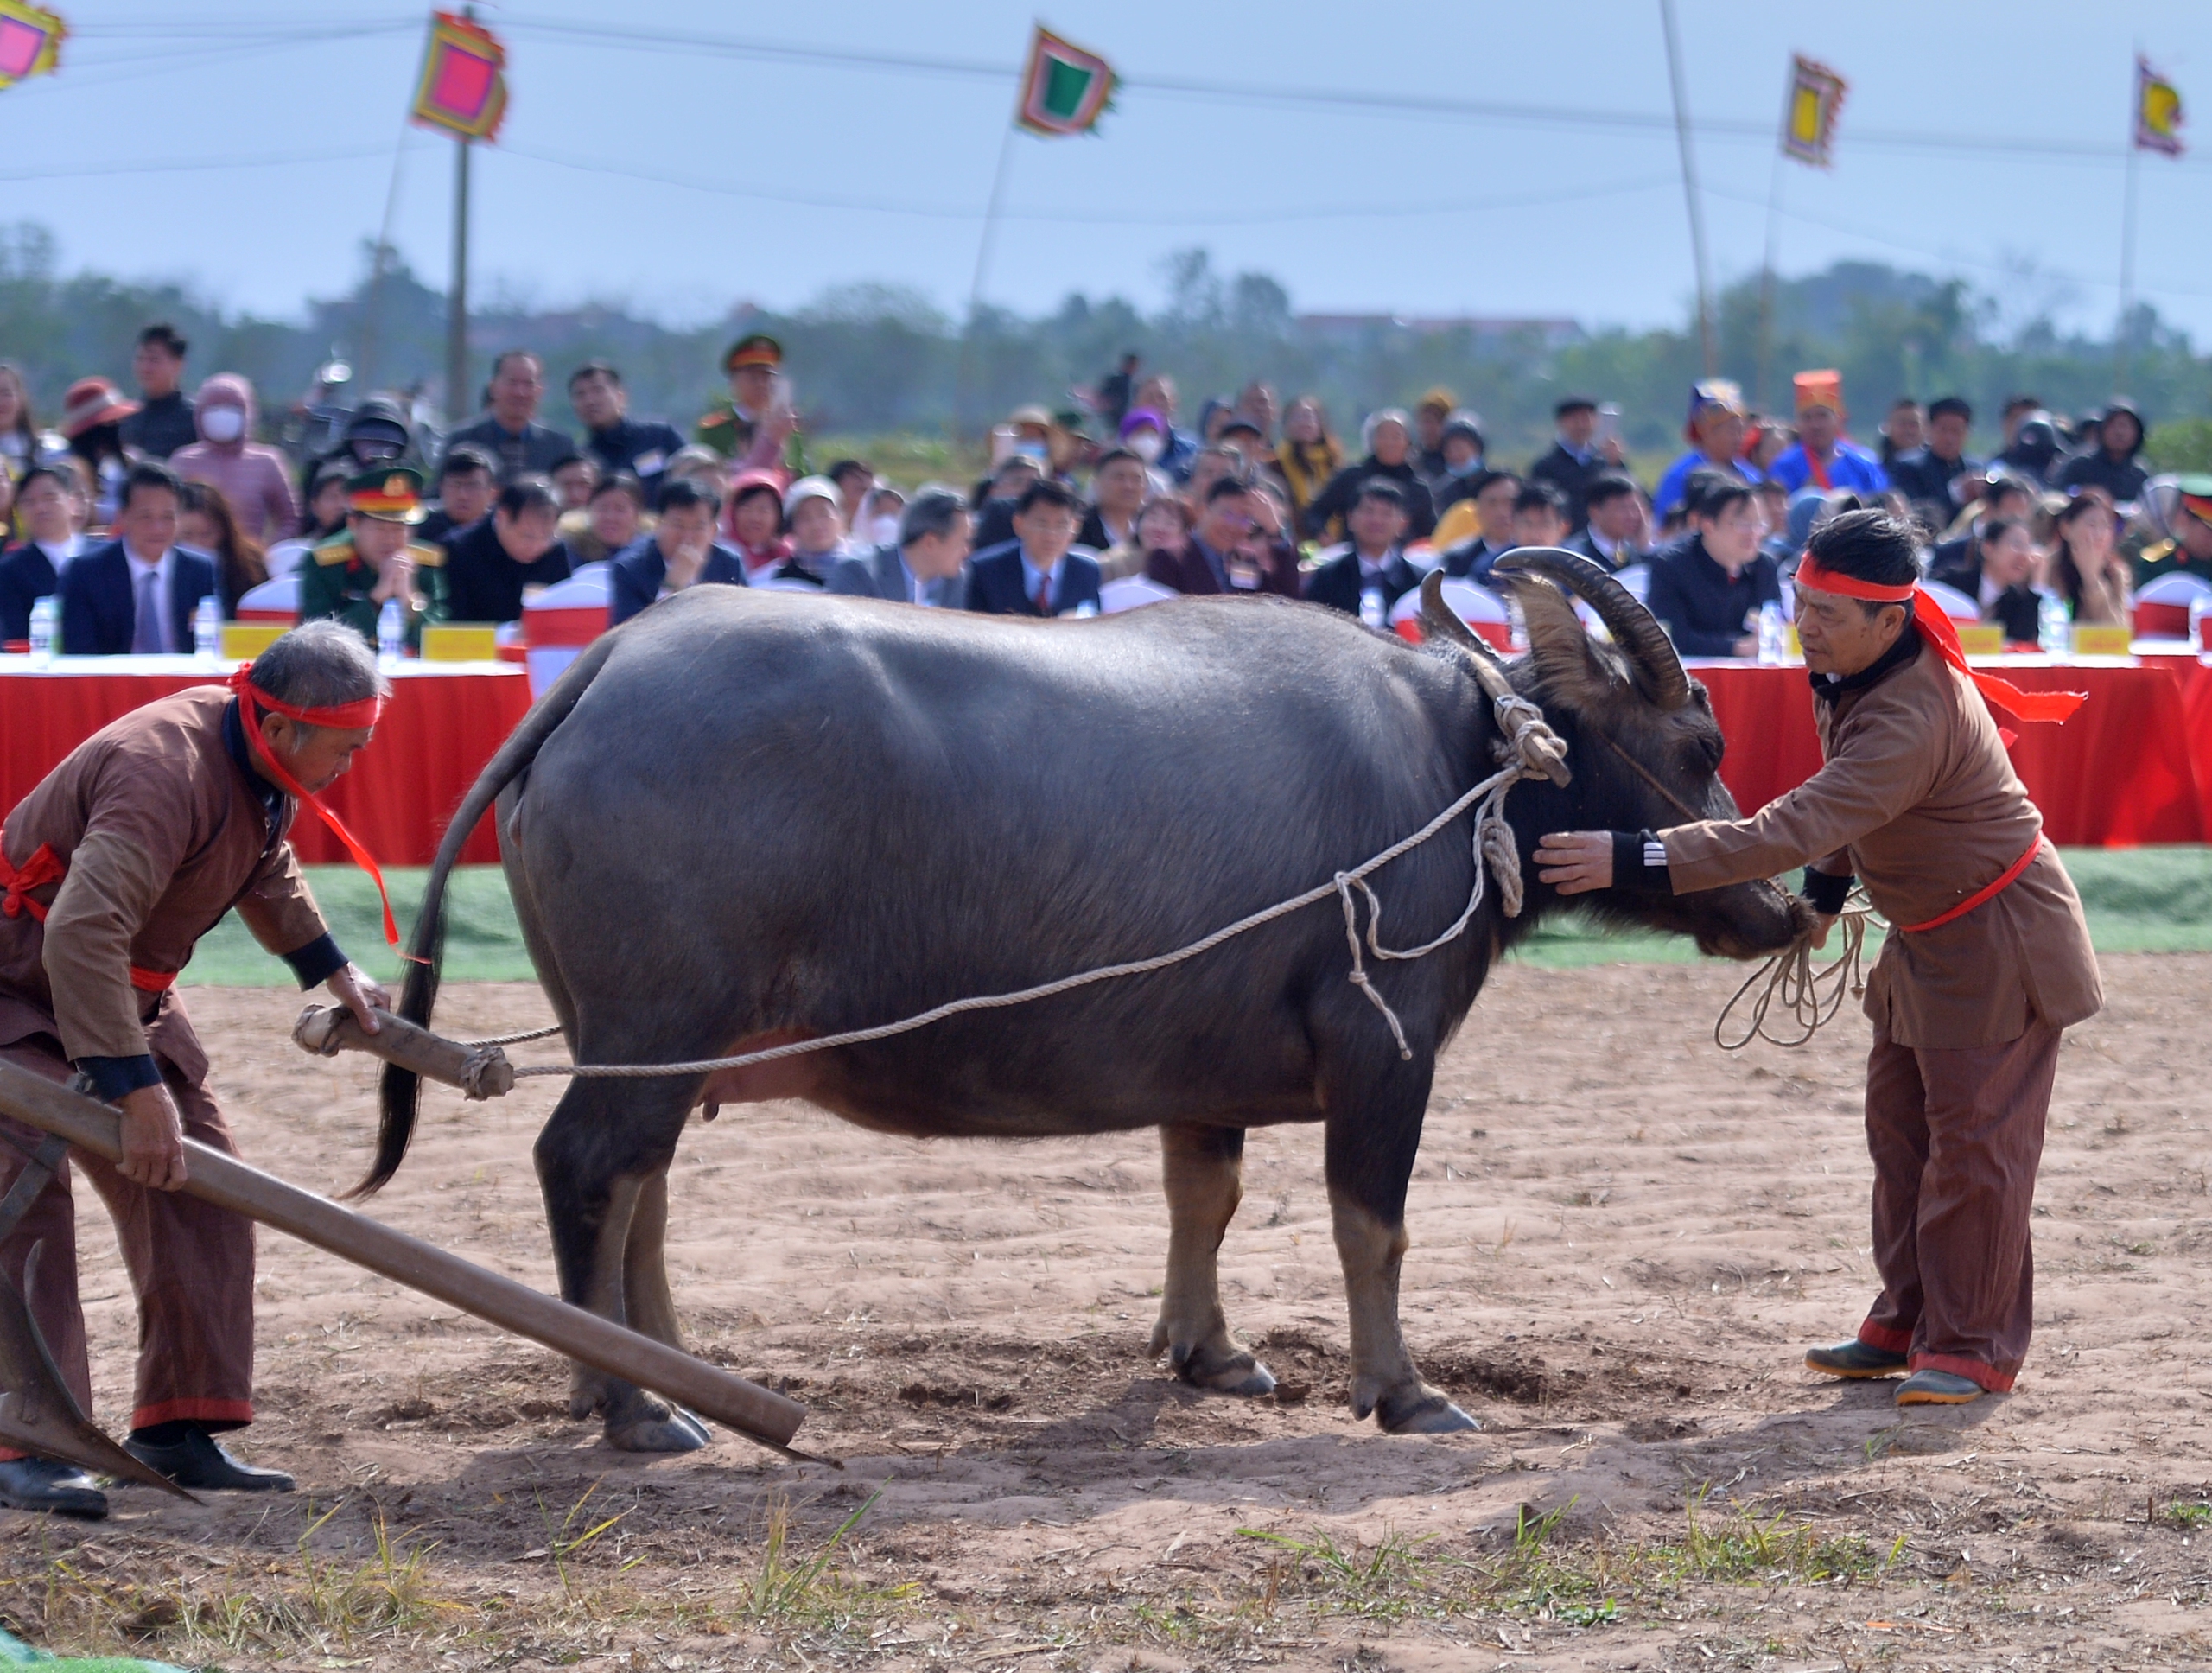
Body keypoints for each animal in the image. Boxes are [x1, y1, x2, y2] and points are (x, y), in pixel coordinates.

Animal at [358, 549, 1796, 1451]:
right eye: (1702, 743)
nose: (1786, 905)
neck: (1454, 768)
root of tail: (609, 662)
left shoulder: (1204, 1072)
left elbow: (1204, 1199)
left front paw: (1210, 1354)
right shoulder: (1381, 1051)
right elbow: (1371, 1228)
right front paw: (1403, 1391)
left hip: (651, 1043)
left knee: (637, 1191)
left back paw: (680, 1379)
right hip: (655, 1025)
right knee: (587, 1172)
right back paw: (632, 1407)